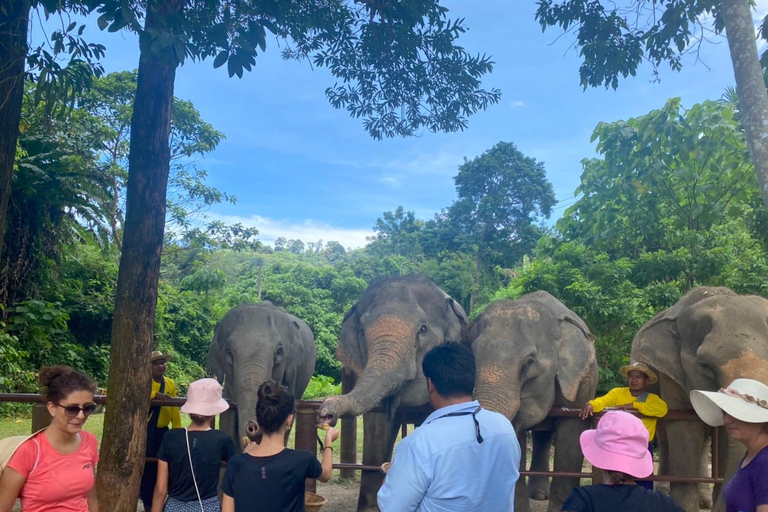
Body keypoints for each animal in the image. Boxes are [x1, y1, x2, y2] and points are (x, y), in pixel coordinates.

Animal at [632, 288, 768, 512]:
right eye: (705, 365)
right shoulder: (671, 375)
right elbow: (685, 426)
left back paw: (706, 500)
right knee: (665, 432)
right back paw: (664, 492)